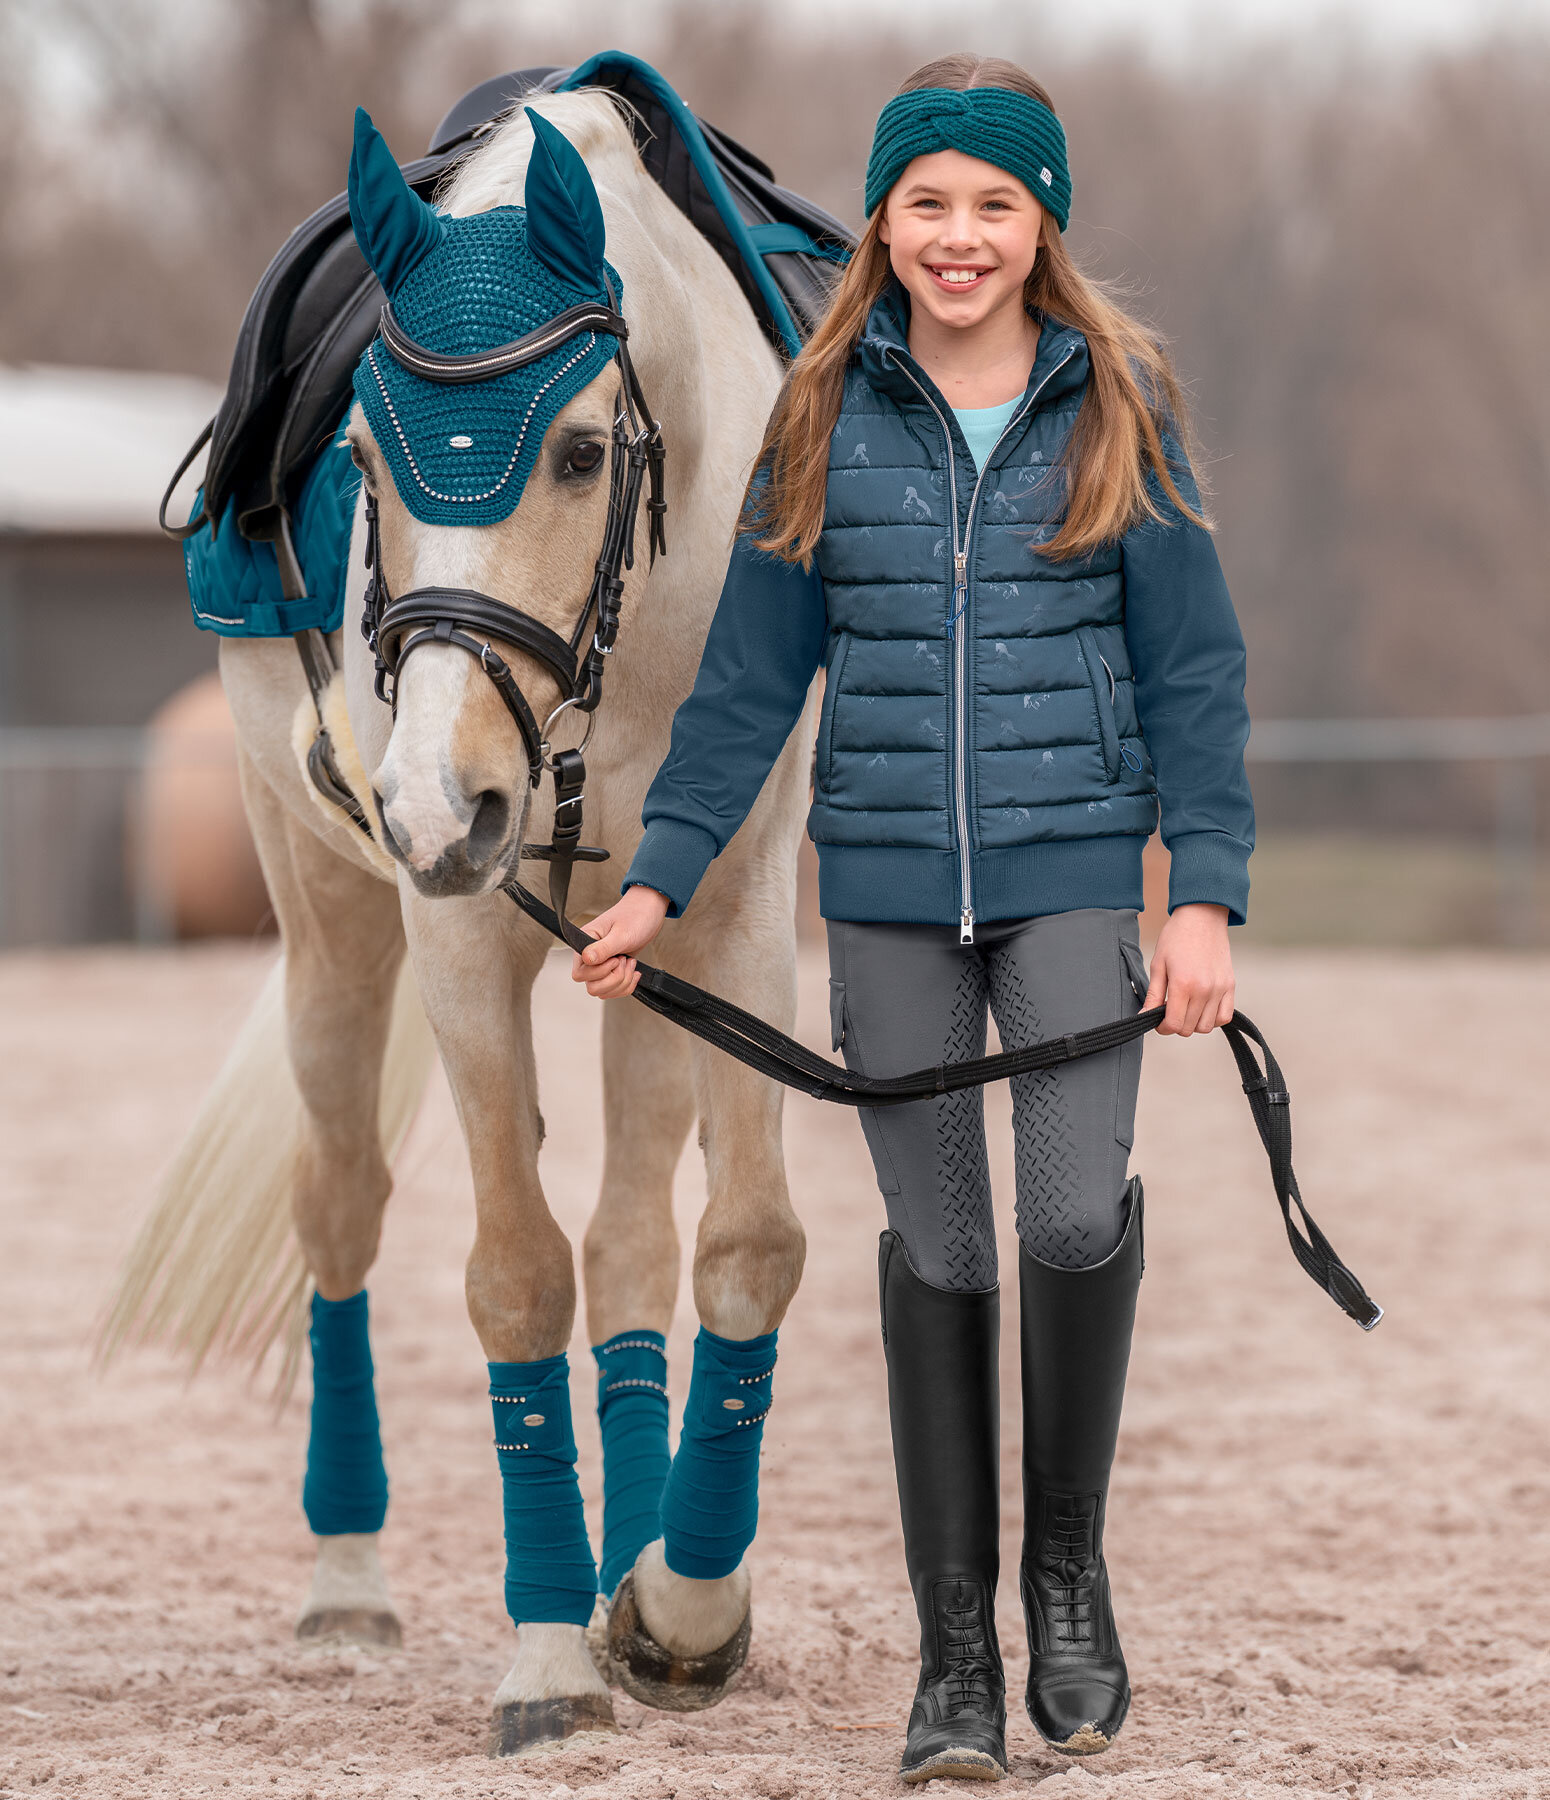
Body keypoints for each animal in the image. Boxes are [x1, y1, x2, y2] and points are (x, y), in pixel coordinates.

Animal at [105, 87, 810, 1756]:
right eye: (365, 451)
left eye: (576, 449)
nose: (441, 797)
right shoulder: (460, 933)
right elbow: (514, 1273)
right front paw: (552, 1651)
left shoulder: (740, 900)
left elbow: (737, 1241)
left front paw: (680, 1610)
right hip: (328, 916)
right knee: (340, 1203)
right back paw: (349, 1585)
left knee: (631, 1240)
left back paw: (634, 1564)